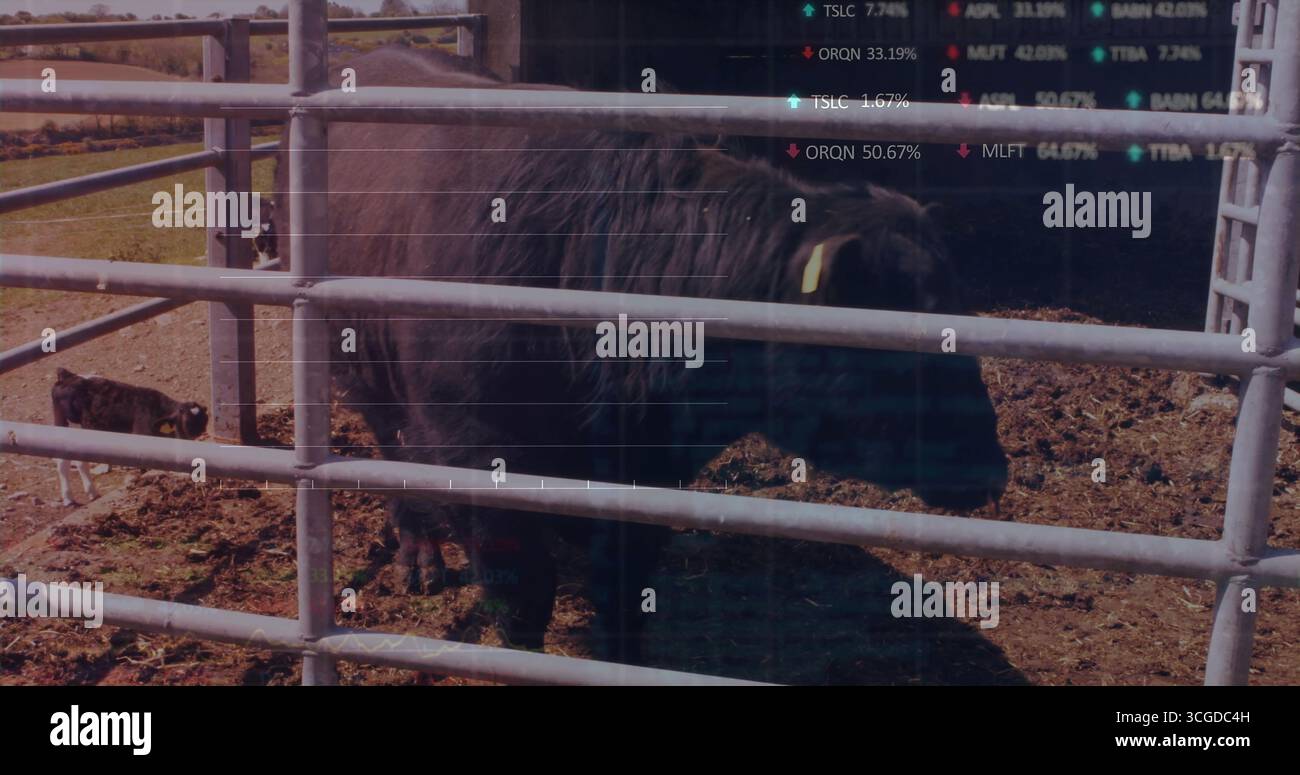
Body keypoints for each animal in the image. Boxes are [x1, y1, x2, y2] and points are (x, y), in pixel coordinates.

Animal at [51, 368, 208, 506]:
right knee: (64, 461)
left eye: (204, 425)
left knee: (78, 461)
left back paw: (91, 493)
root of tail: (68, 375)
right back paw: (69, 499)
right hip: (67, 424)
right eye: (185, 425)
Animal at [272, 46, 1008, 664]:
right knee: (390, 447)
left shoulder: (648, 469)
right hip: (361, 369)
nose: (991, 470)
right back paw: (420, 553)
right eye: (905, 350)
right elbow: (523, 596)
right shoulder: (473, 451)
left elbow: (624, 588)